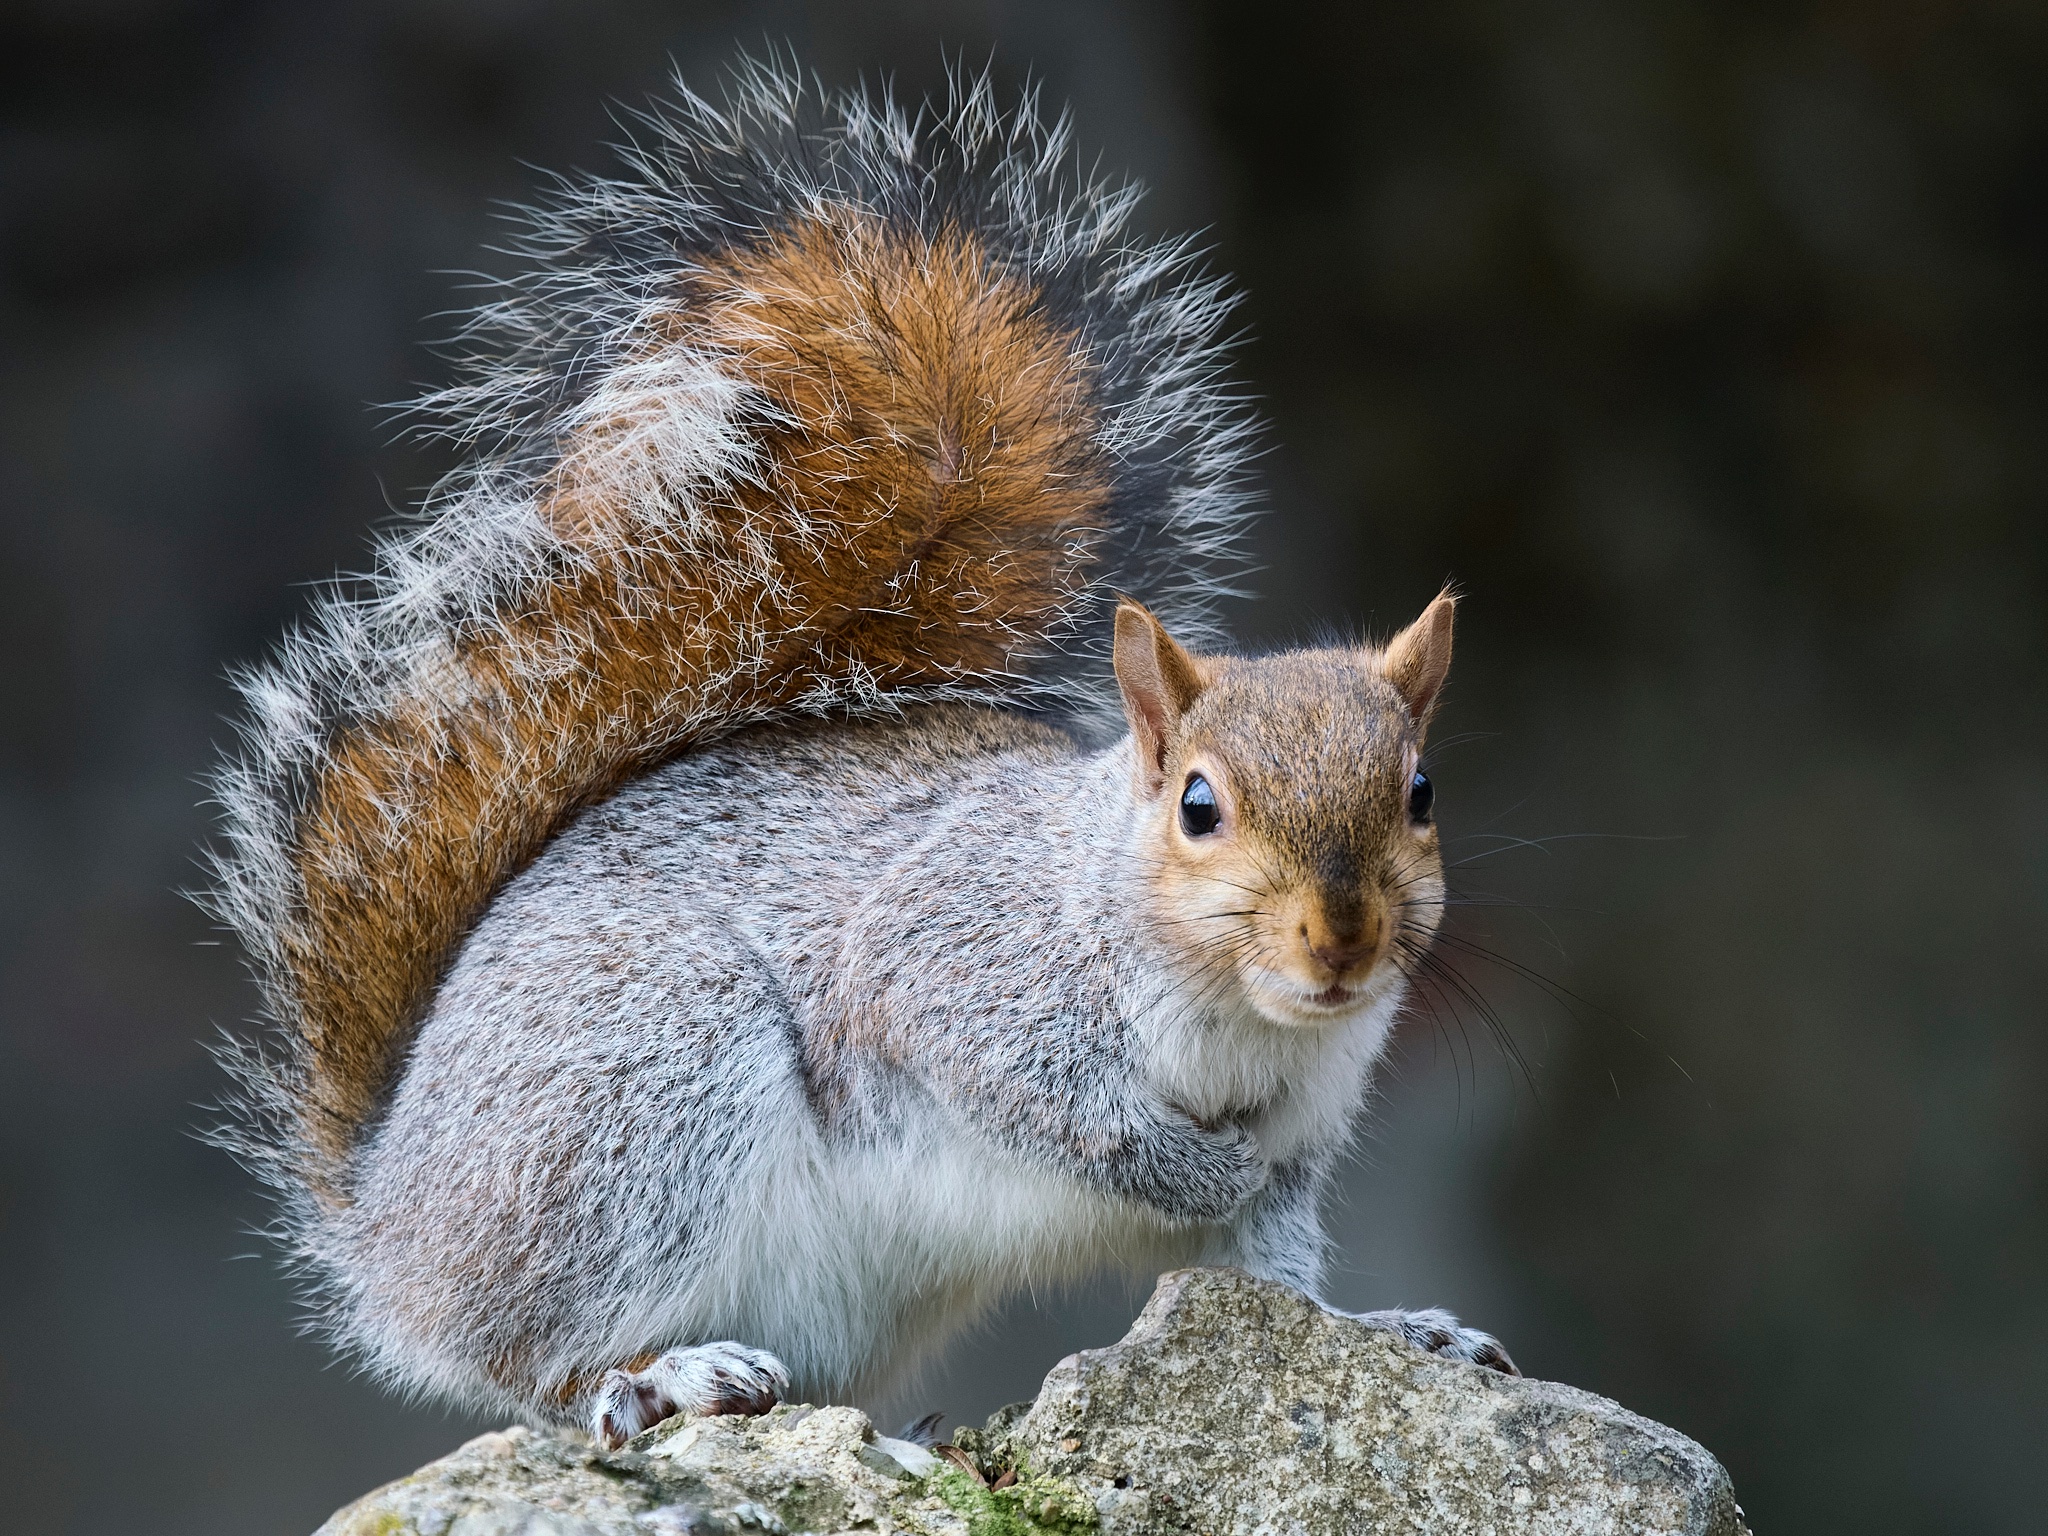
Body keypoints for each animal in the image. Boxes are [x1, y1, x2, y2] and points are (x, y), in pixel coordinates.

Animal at [205, 60, 1514, 1450]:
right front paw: (1179, 1163)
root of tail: (388, 1225)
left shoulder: (1294, 1158)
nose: (1341, 942)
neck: (1229, 1010)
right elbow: (1044, 1100)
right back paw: (660, 1377)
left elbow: (1275, 1288)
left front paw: (1397, 1330)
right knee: (537, 1366)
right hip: (636, 1089)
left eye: (1420, 792)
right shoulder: (956, 968)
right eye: (1198, 807)